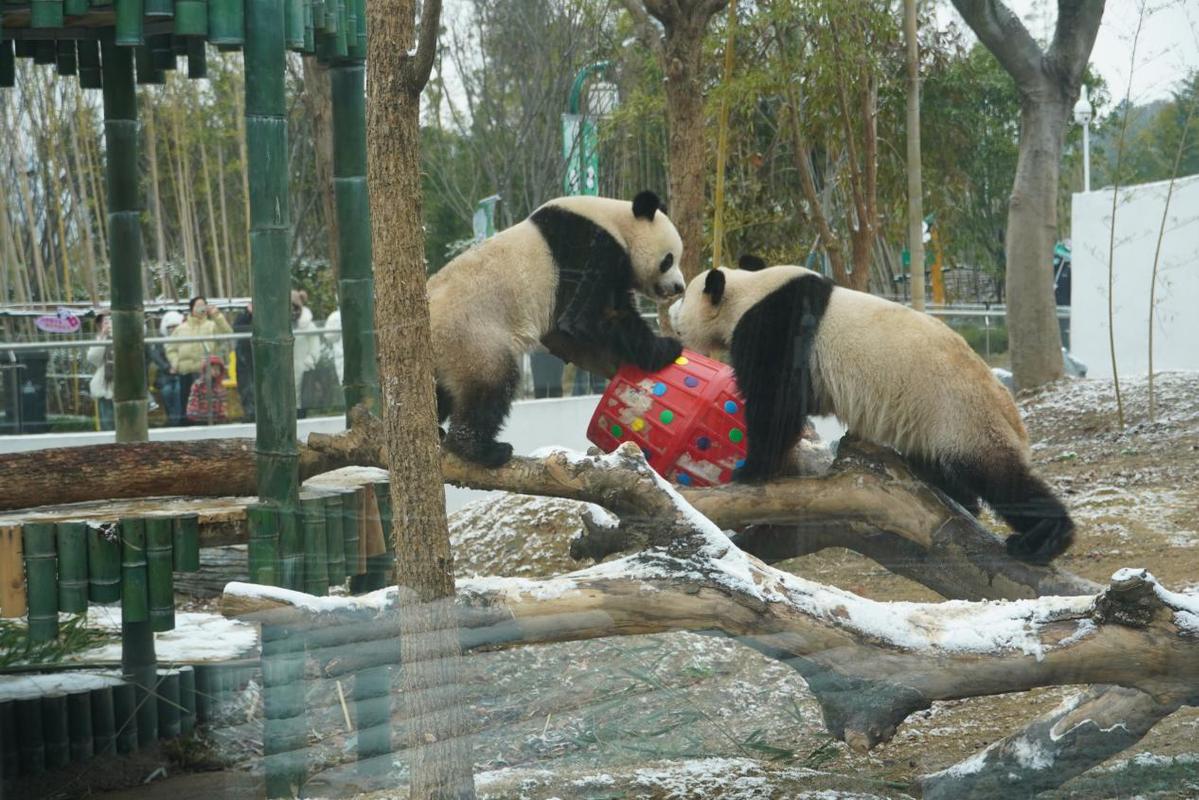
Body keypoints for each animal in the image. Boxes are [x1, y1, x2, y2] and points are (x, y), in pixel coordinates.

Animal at [434, 193, 690, 470]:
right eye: (668, 260)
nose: (679, 287)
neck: (616, 223)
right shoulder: (588, 250)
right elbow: (587, 318)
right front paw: (666, 349)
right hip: (472, 338)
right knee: (491, 387)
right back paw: (482, 449)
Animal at [671, 256, 1074, 563]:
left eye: (686, 293)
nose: (670, 305)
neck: (748, 292)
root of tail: (1010, 409)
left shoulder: (776, 327)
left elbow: (776, 402)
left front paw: (750, 469)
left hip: (962, 416)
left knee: (1001, 479)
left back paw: (1045, 539)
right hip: (933, 420)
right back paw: (964, 500)